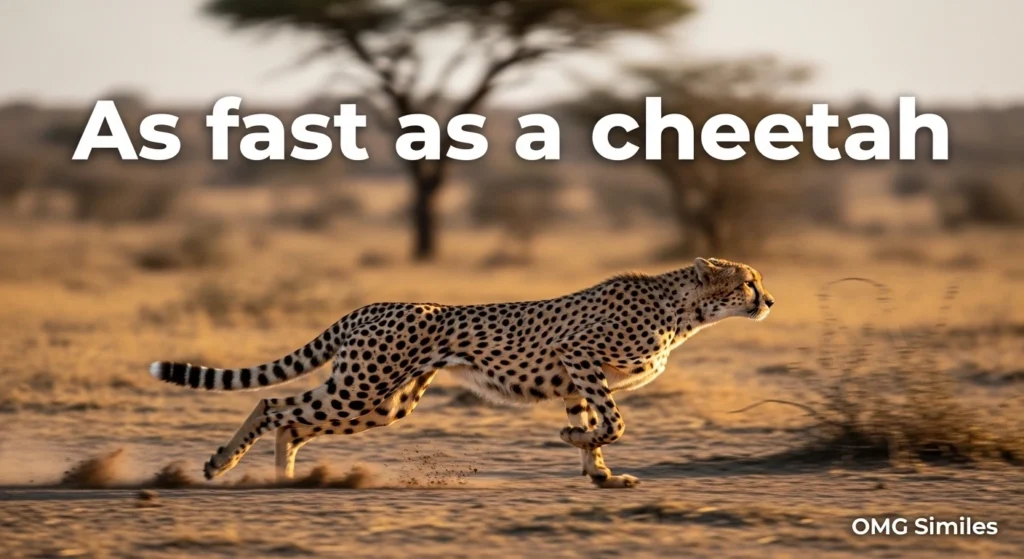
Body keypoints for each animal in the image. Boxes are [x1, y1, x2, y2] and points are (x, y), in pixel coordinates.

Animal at [149, 257, 774, 489]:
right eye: (748, 282)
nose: (769, 301)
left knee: (293, 421)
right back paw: (223, 463)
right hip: (363, 387)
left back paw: (287, 479)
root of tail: (368, 306)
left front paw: (598, 472)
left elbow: (595, 427)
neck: (684, 310)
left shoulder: (574, 379)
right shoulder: (578, 355)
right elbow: (614, 421)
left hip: (384, 401)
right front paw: (581, 446)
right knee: (273, 405)